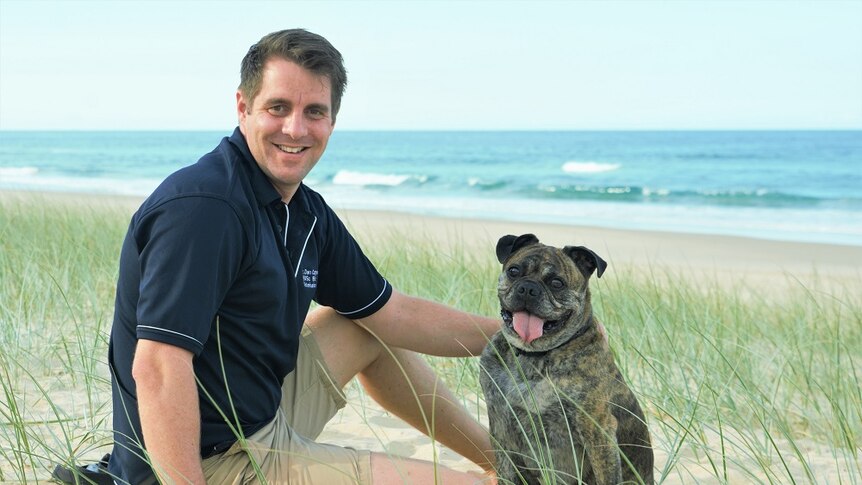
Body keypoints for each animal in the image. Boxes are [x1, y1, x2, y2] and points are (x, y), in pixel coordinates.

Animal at [480, 233, 656, 482]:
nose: (528, 288)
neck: (533, 356)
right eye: (514, 271)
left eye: (557, 283)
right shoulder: (501, 429)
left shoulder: (598, 431)